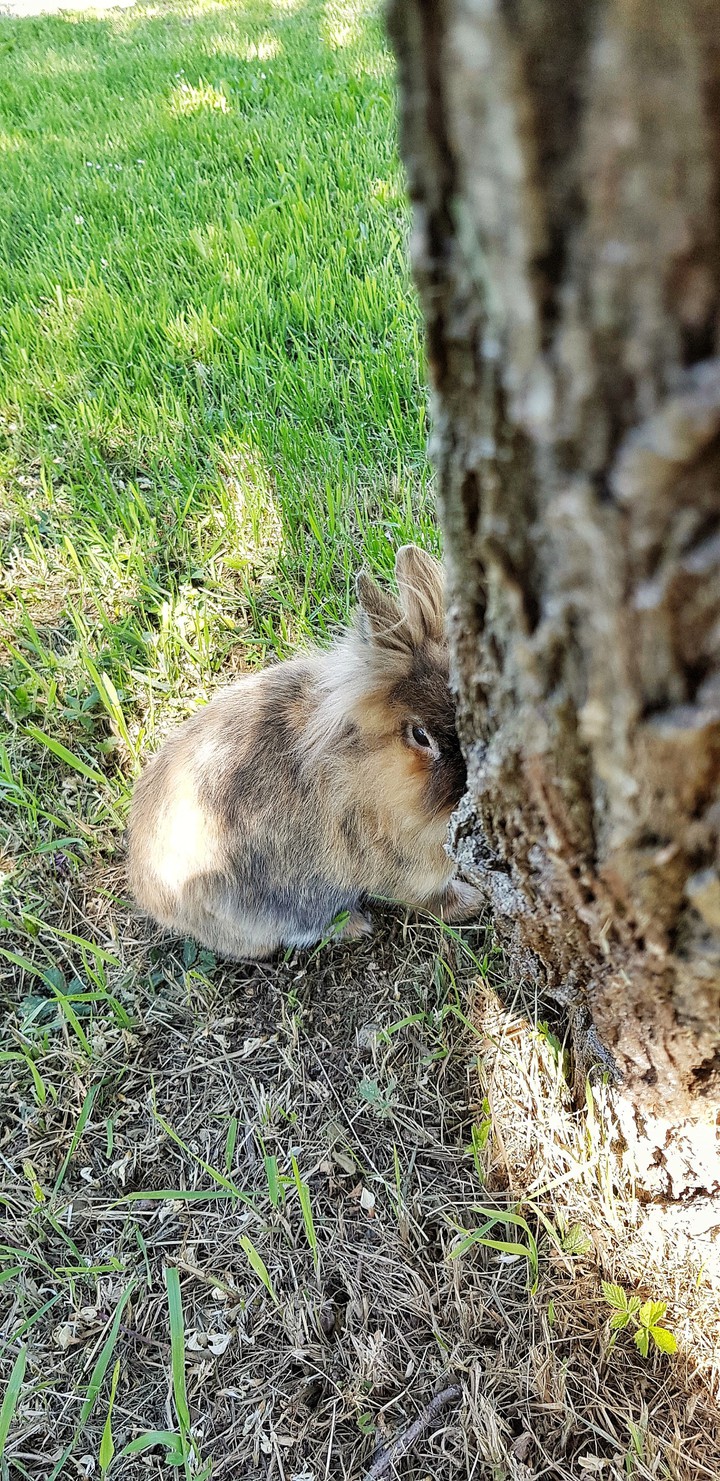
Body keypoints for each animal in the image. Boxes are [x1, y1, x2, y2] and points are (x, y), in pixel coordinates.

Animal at [126, 544, 483, 959]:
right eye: (420, 736)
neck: (366, 770)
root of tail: (150, 894)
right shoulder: (407, 870)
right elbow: (432, 898)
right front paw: (472, 903)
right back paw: (355, 926)